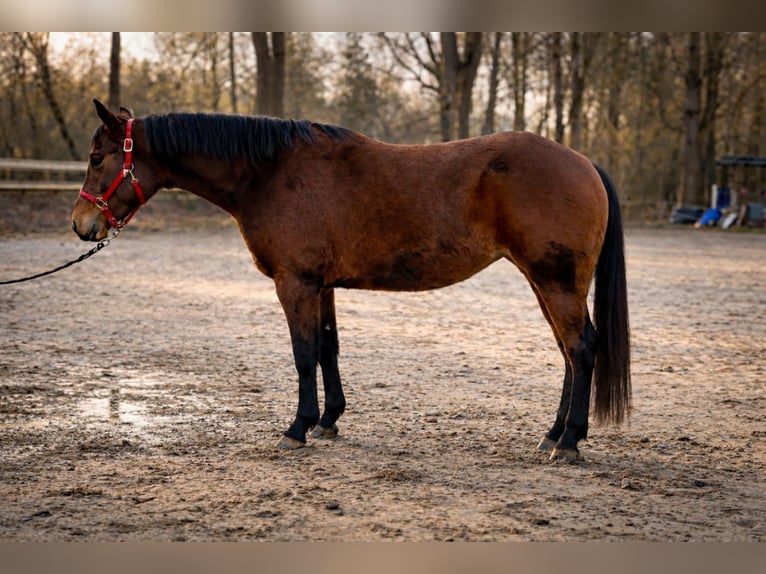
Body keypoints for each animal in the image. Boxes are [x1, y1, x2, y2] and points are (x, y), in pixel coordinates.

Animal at [72, 99, 630, 461]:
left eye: (97, 158)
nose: (81, 224)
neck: (270, 172)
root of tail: (585, 163)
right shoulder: (322, 286)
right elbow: (327, 349)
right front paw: (328, 421)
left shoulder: (295, 282)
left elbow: (302, 354)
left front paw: (297, 428)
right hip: (545, 283)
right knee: (568, 352)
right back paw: (552, 435)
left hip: (555, 281)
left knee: (581, 348)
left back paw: (570, 442)